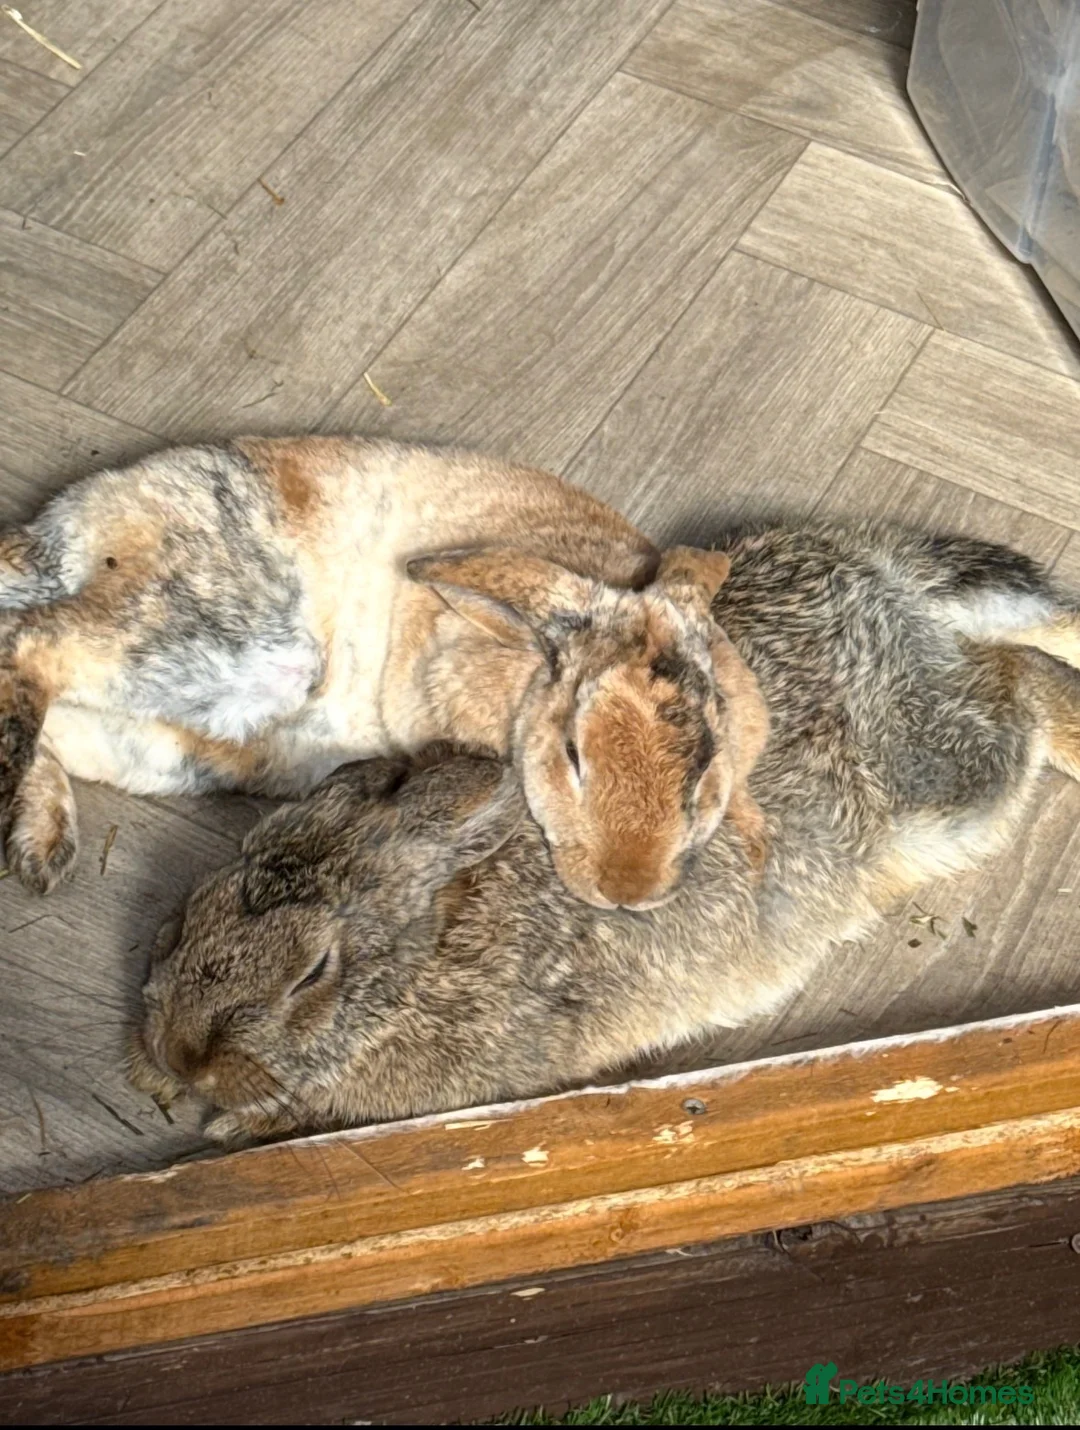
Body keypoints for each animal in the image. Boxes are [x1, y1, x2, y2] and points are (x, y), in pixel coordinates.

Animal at [0, 436, 768, 909]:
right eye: (573, 753)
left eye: (704, 772)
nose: (627, 892)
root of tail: (59, 534)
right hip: (223, 637)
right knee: (32, 643)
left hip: (165, 740)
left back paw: (42, 846)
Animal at [129, 519, 1080, 1142]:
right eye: (185, 920)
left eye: (312, 973)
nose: (179, 1055)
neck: (424, 957)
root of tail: (868, 567)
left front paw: (222, 1125)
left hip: (939, 783)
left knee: (1021, 683)